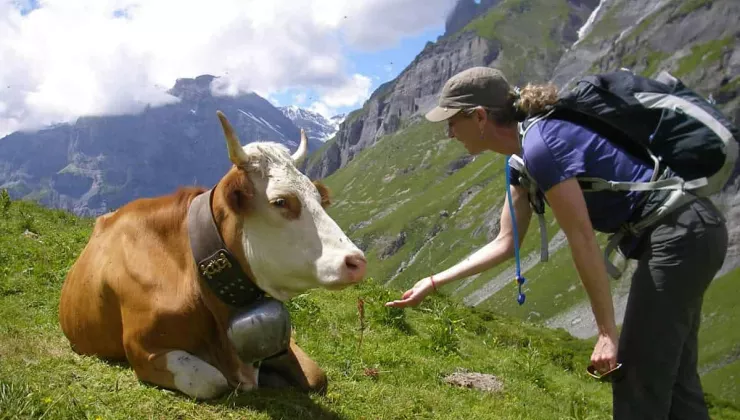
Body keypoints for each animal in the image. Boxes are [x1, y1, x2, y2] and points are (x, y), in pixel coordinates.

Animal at [58, 111, 367, 400]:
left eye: (318, 198)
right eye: (280, 201)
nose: (357, 261)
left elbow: (317, 376)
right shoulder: (142, 348)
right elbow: (212, 381)